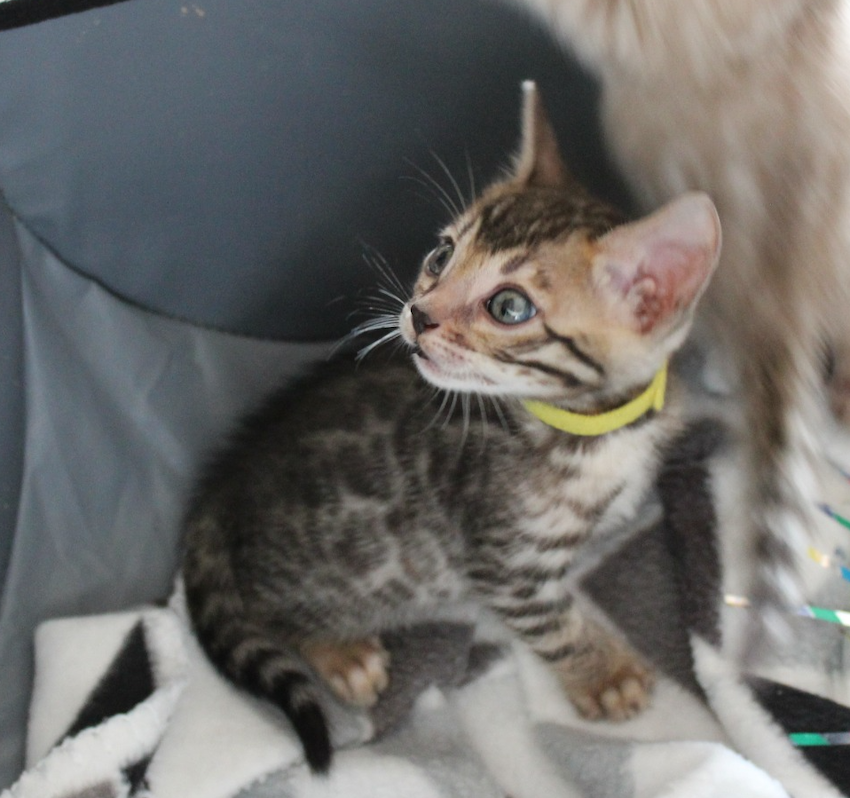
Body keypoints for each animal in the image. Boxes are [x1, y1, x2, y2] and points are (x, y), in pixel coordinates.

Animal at [181, 82, 721, 772]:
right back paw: (340, 652)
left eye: (510, 306)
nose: (418, 312)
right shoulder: (501, 561)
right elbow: (554, 625)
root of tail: (221, 487)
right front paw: (603, 675)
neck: (589, 426)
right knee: (270, 613)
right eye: (443, 254)